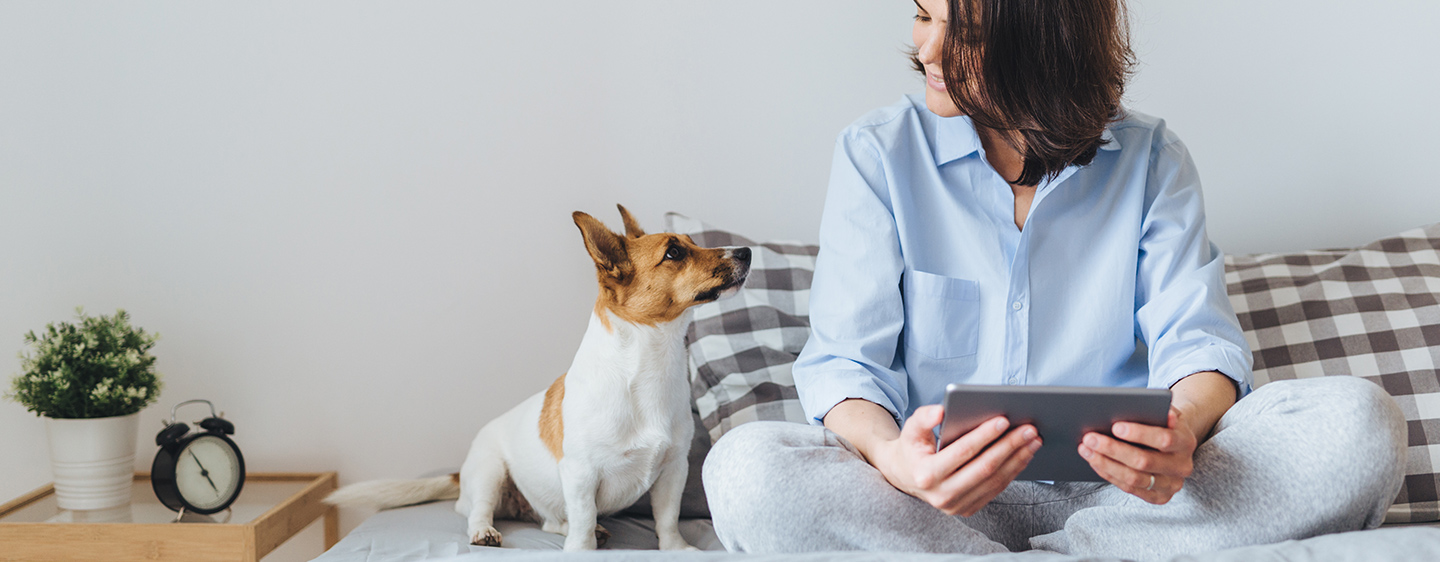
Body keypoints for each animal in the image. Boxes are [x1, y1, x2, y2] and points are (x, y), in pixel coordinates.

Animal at [324, 204, 754, 550]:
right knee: (480, 512)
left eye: (692, 242)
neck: (648, 365)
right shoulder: (580, 474)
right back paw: (485, 532)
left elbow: (667, 520)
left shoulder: (673, 470)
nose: (746, 251)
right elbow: (582, 522)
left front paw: (677, 549)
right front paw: (582, 550)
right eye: (674, 252)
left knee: (550, 521)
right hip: (489, 472)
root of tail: (461, 472)